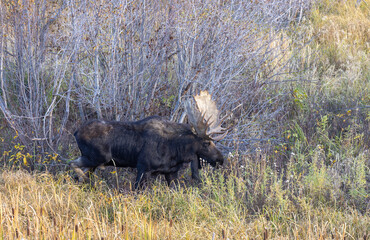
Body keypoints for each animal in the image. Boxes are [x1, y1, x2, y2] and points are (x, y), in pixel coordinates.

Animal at [68, 91, 227, 188]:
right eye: (206, 143)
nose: (220, 159)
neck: (177, 150)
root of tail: (75, 132)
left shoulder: (171, 172)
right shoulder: (143, 168)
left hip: (94, 161)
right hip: (96, 158)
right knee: (73, 164)